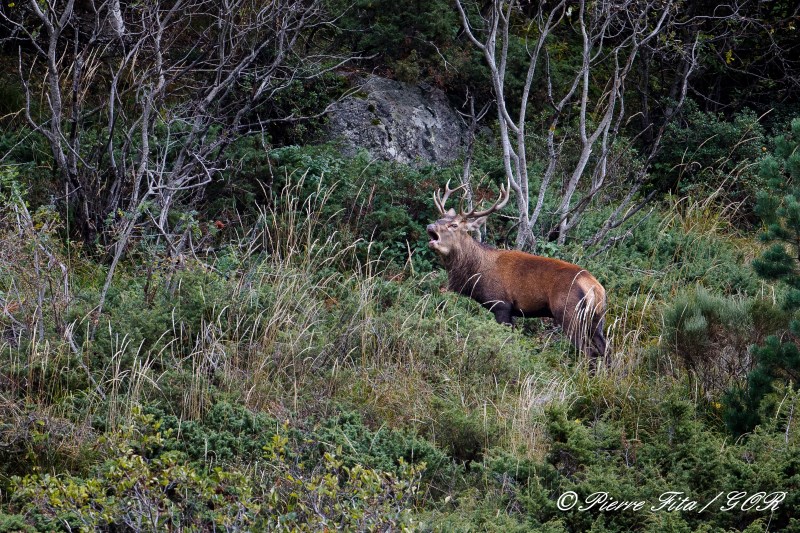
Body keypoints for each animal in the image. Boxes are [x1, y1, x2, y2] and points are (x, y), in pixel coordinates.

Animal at [426, 179, 608, 365]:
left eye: (454, 225)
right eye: (438, 218)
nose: (430, 226)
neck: (476, 273)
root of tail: (596, 288)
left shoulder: (501, 304)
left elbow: (507, 341)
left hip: (569, 314)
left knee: (588, 351)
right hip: (597, 318)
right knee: (605, 349)